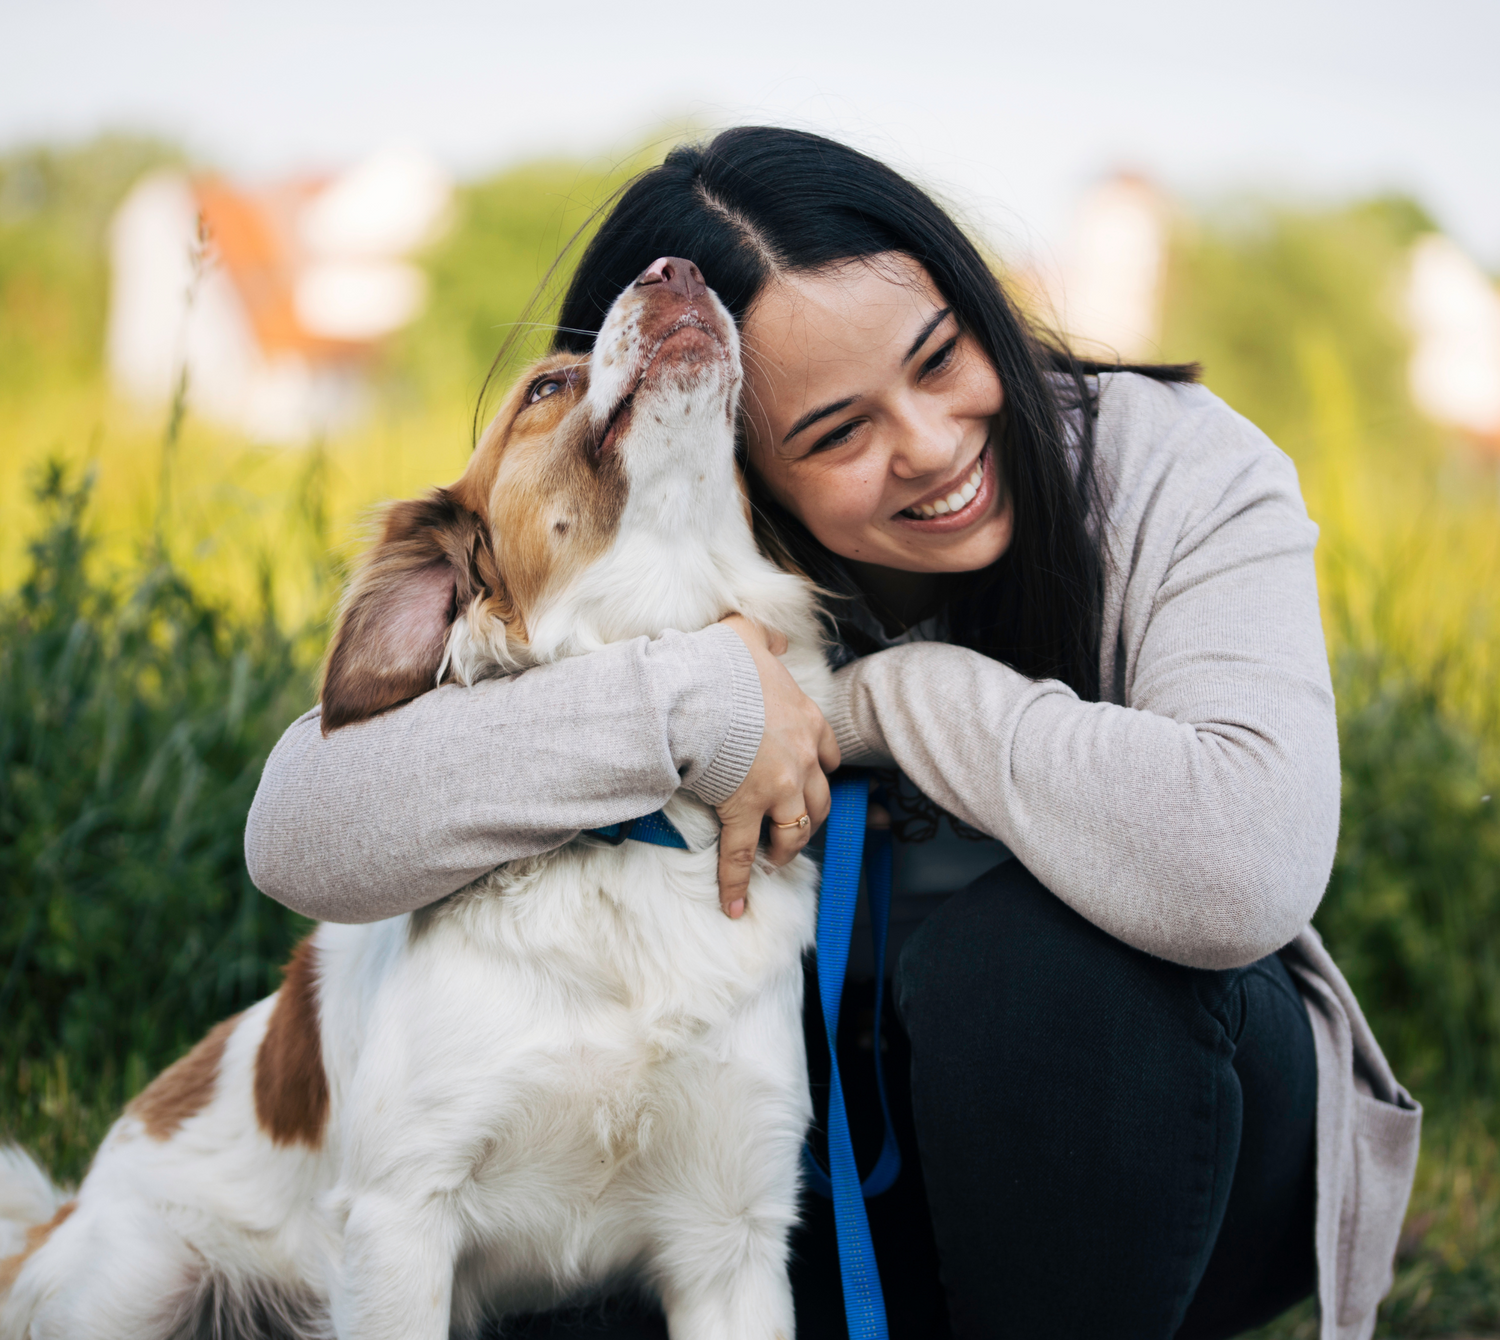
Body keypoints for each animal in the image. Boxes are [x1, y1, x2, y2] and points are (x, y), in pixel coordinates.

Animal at [0, 258, 834, 1338]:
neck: (624, 840)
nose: (676, 271)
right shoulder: (402, 1216)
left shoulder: (732, 1234)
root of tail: (59, 1217)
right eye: (545, 388)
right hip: (131, 1280)